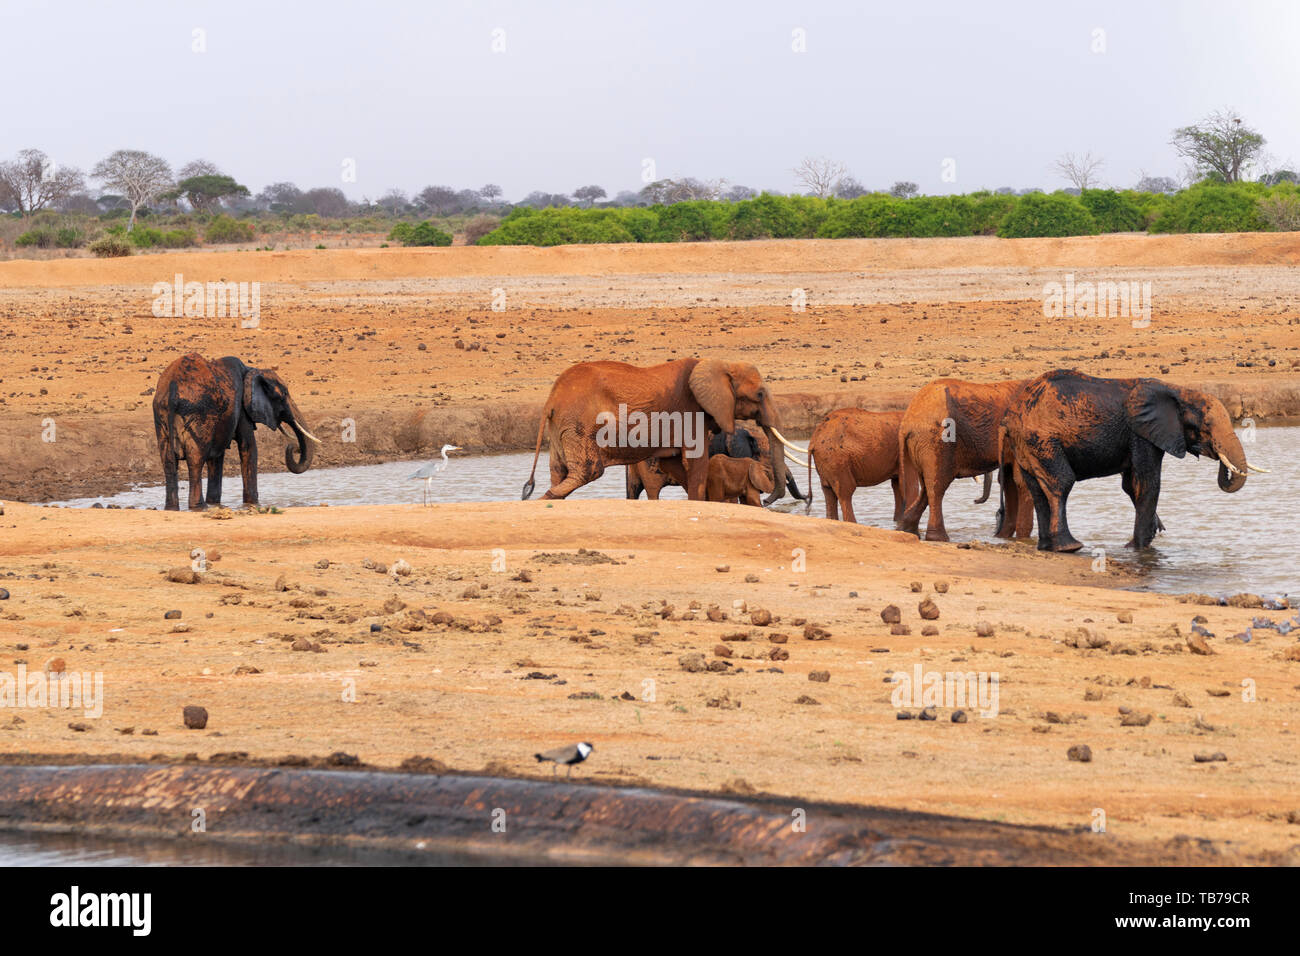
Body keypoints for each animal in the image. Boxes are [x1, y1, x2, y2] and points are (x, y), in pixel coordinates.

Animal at [152, 353, 322, 515]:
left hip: (162, 415)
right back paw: (199, 507)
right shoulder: (241, 409)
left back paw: (173, 508)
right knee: (196, 460)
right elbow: (248, 447)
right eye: (284, 394)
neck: (251, 370)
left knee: (168, 461)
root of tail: (172, 388)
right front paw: (252, 504)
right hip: (198, 414)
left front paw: (216, 504)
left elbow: (216, 457)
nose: (295, 447)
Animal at [522, 361, 806, 504]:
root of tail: (550, 400)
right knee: (588, 471)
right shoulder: (692, 412)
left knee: (559, 471)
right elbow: (697, 463)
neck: (719, 364)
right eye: (760, 395)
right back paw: (542, 500)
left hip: (561, 426)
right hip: (579, 424)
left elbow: (676, 464)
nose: (768, 501)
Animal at [894, 377, 1034, 541]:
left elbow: (1009, 480)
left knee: (926, 487)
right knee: (937, 486)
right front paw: (1023, 539)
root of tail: (906, 423)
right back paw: (939, 538)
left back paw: (906, 530)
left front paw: (1005, 538)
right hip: (935, 442)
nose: (975, 500)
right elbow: (1021, 480)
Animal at [998, 371, 1263, 554]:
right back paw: (1070, 547)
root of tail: (1010, 416)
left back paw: (1045, 547)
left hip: (1026, 445)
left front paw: (1142, 542)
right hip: (1042, 440)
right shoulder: (1142, 433)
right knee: (1061, 483)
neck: (1179, 391)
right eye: (1206, 425)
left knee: (1036, 490)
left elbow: (1131, 485)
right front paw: (1139, 548)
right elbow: (1147, 482)